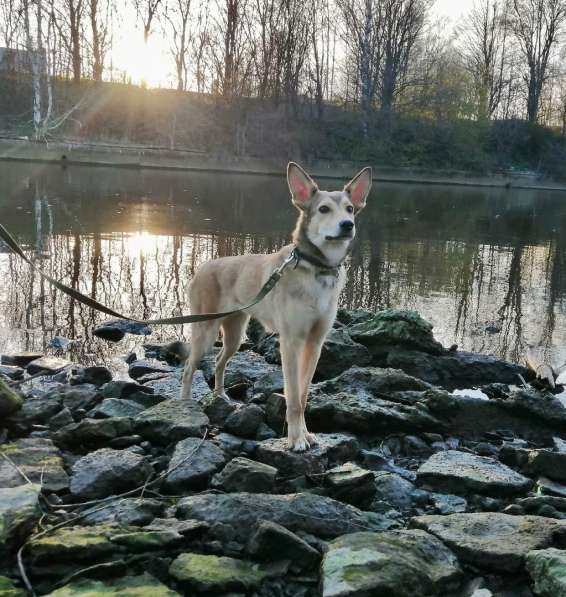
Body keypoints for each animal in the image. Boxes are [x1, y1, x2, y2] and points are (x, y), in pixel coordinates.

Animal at [181, 161, 372, 450]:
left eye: (350, 208)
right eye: (323, 209)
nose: (347, 225)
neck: (317, 269)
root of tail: (205, 266)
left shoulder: (315, 343)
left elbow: (302, 396)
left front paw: (306, 434)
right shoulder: (291, 342)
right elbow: (292, 396)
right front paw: (295, 440)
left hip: (234, 333)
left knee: (219, 361)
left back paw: (220, 395)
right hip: (205, 330)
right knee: (188, 368)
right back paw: (182, 405)